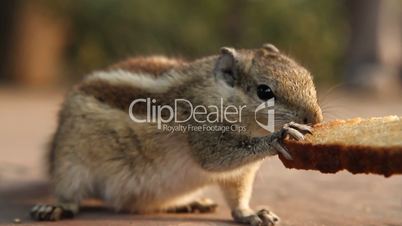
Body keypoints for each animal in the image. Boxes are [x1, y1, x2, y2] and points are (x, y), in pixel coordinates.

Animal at [29, 43, 324, 225]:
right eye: (264, 91)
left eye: (308, 78)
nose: (316, 119)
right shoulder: (202, 131)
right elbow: (215, 158)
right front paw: (280, 136)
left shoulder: (241, 174)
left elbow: (238, 196)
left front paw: (250, 214)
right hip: (69, 164)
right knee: (70, 194)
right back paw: (56, 207)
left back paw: (190, 204)